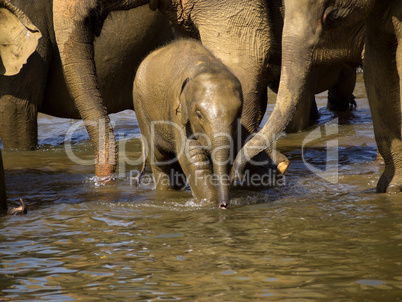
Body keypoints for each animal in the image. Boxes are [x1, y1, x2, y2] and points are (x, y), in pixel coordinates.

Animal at [133, 39, 243, 209]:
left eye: (238, 113)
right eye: (198, 114)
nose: (224, 205)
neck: (205, 67)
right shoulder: (178, 112)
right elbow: (191, 156)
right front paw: (210, 203)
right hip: (141, 109)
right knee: (159, 159)